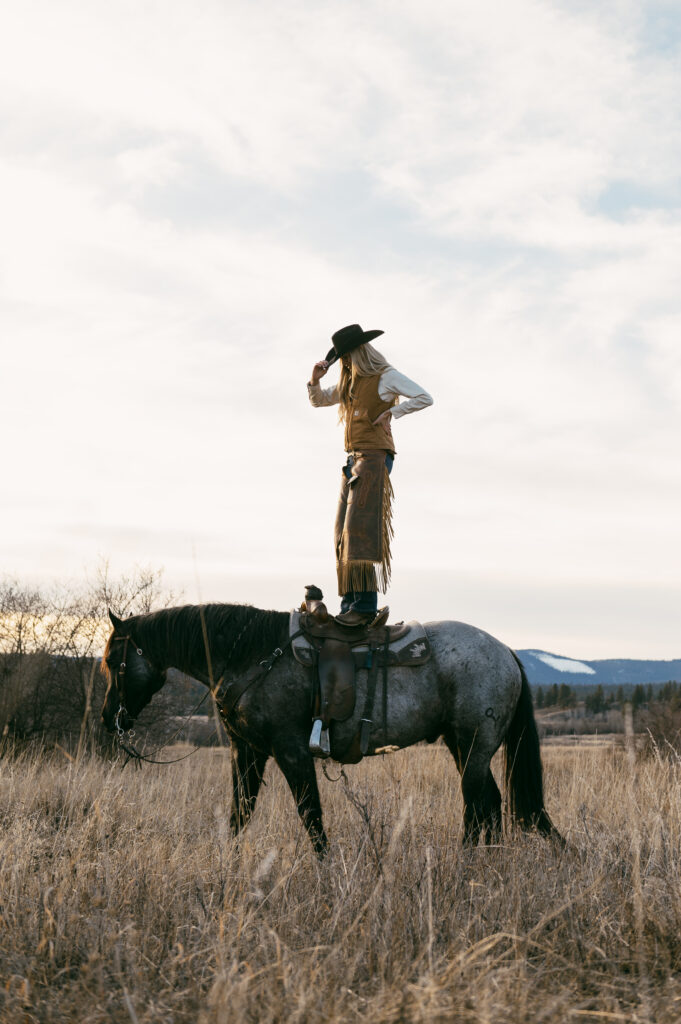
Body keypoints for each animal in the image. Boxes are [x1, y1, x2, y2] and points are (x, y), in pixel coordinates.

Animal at [99, 598, 557, 856]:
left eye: (112, 661)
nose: (108, 718)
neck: (252, 657)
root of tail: (506, 651)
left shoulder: (291, 751)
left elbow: (311, 816)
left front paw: (327, 872)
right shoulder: (246, 752)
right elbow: (238, 816)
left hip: (475, 745)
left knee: (476, 806)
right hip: (461, 745)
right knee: (489, 803)